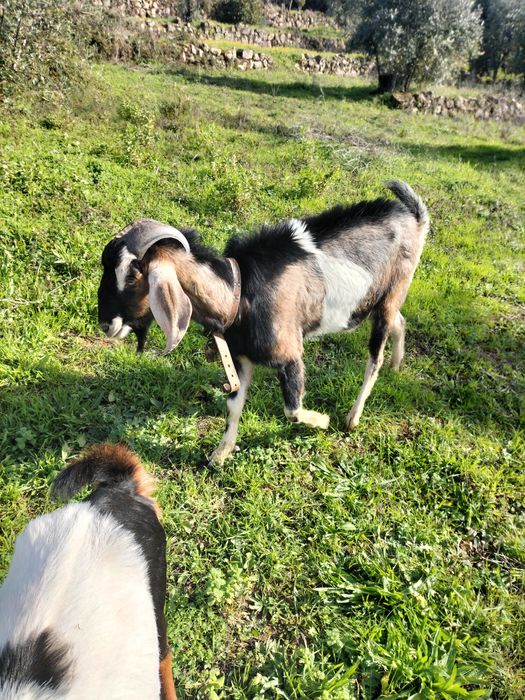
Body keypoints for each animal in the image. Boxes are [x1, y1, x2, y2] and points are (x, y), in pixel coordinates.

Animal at [97, 181, 428, 465]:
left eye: (132, 275)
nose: (105, 324)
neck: (240, 293)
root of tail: (413, 217)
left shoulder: (290, 355)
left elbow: (292, 409)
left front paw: (323, 421)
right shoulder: (239, 357)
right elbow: (233, 406)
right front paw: (220, 454)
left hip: (392, 292)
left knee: (374, 358)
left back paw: (352, 418)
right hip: (382, 300)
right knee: (400, 320)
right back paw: (396, 365)